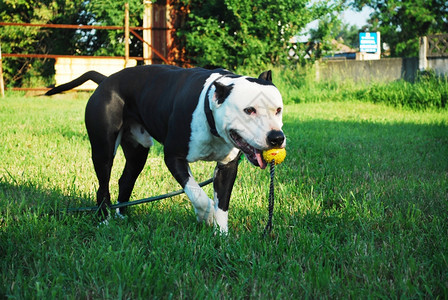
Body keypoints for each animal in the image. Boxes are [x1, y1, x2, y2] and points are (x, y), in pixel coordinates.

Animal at [47, 65, 286, 234]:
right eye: (249, 110)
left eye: (278, 110)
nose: (276, 138)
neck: (209, 110)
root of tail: (106, 79)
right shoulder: (174, 157)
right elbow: (197, 194)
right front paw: (206, 214)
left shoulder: (227, 168)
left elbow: (222, 204)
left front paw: (221, 235)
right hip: (103, 150)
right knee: (103, 185)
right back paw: (104, 219)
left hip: (137, 152)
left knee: (125, 180)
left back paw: (122, 216)